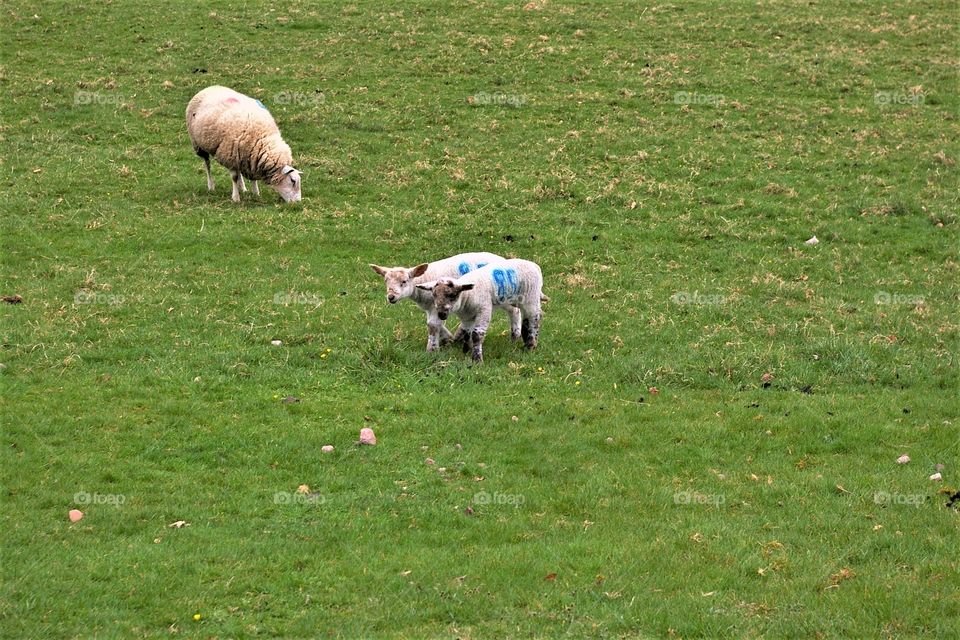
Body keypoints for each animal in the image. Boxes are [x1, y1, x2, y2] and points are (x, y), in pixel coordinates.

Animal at [370, 251, 520, 350]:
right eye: (386, 281)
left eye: (404, 281)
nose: (391, 297)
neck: (423, 281)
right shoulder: (431, 307)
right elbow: (434, 323)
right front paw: (448, 337)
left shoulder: (436, 305)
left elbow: (433, 324)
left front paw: (433, 348)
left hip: (505, 293)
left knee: (514, 310)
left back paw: (515, 335)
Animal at [414, 258, 548, 360]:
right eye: (434, 295)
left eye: (452, 295)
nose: (441, 314)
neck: (467, 296)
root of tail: (535, 265)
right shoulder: (467, 317)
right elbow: (467, 333)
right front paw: (466, 351)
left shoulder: (484, 310)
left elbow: (477, 335)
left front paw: (477, 359)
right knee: (526, 319)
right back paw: (524, 342)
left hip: (531, 298)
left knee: (535, 317)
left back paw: (531, 345)